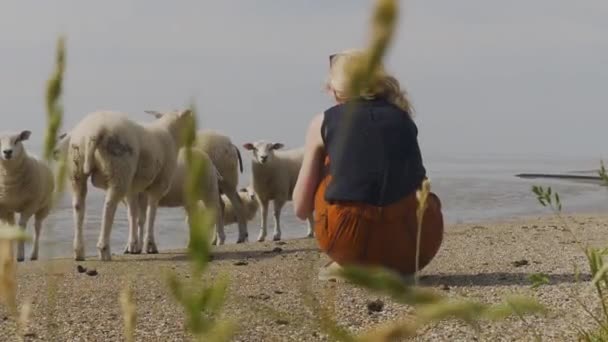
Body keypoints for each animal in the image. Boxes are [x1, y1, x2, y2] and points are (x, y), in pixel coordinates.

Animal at [0, 130, 54, 260]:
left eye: (17, 140)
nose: (7, 152)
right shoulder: (3, 207)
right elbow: (8, 229)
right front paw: (8, 256)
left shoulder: (30, 205)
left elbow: (22, 226)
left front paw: (20, 255)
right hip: (10, 209)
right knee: (12, 225)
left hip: (44, 207)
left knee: (37, 227)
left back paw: (34, 254)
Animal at [66, 108, 192, 260]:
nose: (193, 137)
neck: (170, 134)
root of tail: (94, 131)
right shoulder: (158, 186)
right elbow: (151, 214)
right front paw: (149, 245)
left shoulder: (135, 189)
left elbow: (135, 215)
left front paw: (133, 246)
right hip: (119, 168)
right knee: (109, 207)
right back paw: (104, 250)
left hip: (76, 167)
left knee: (78, 206)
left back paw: (79, 252)